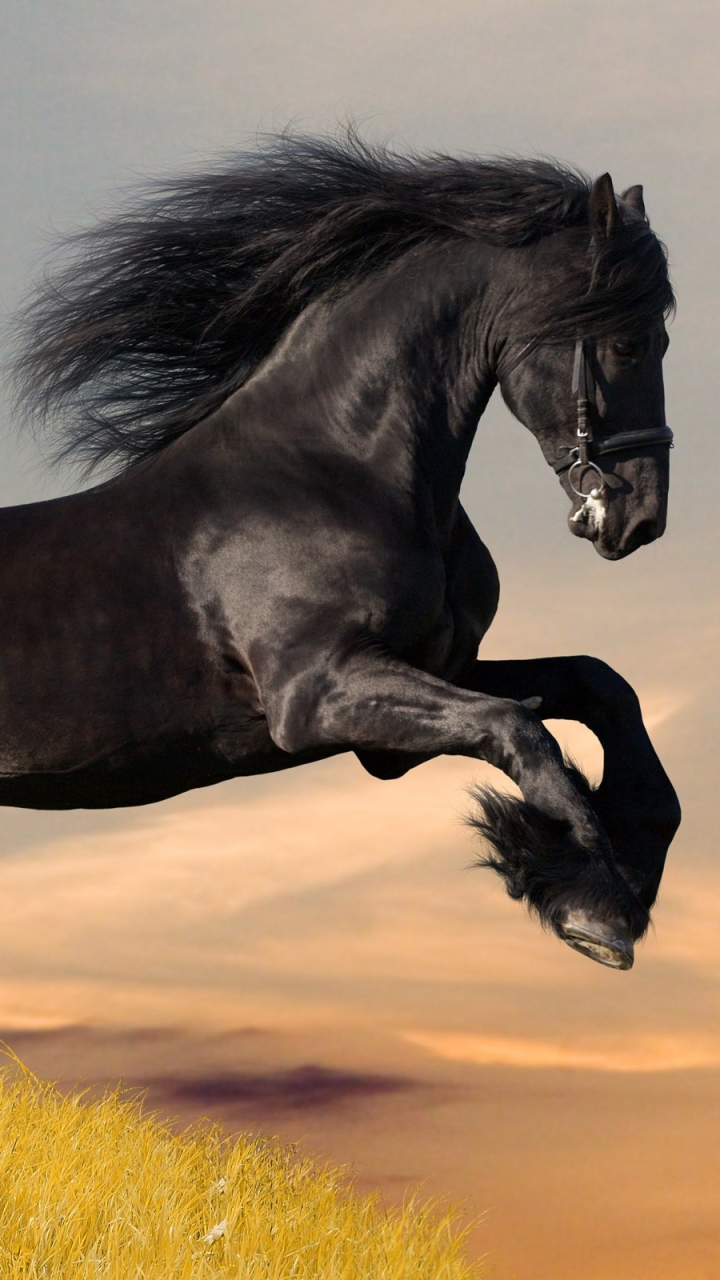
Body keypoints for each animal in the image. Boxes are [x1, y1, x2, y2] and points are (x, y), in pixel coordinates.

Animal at [6, 131, 680, 971]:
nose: (641, 517)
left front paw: (628, 863)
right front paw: (595, 905)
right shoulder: (319, 694)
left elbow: (596, 686)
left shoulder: (426, 678)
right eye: (625, 342)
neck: (332, 469)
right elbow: (522, 731)